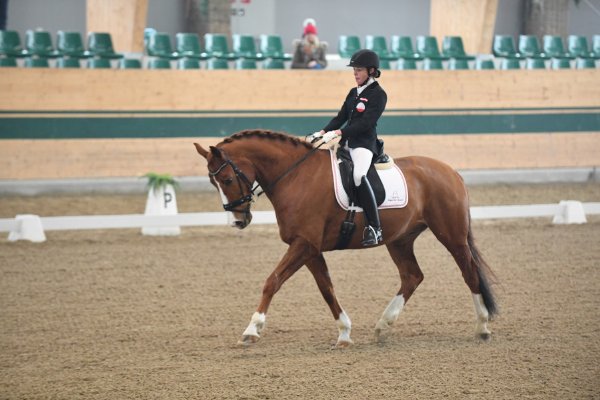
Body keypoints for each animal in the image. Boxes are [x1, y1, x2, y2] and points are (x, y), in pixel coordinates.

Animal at [196, 129, 496, 346]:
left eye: (226, 179)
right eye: (213, 182)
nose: (238, 221)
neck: (296, 177)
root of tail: (451, 171)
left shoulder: (304, 244)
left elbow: (272, 282)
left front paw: (252, 329)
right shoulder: (309, 248)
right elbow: (326, 289)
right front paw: (344, 333)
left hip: (452, 235)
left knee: (469, 272)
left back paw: (482, 327)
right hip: (400, 240)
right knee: (412, 276)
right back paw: (383, 326)